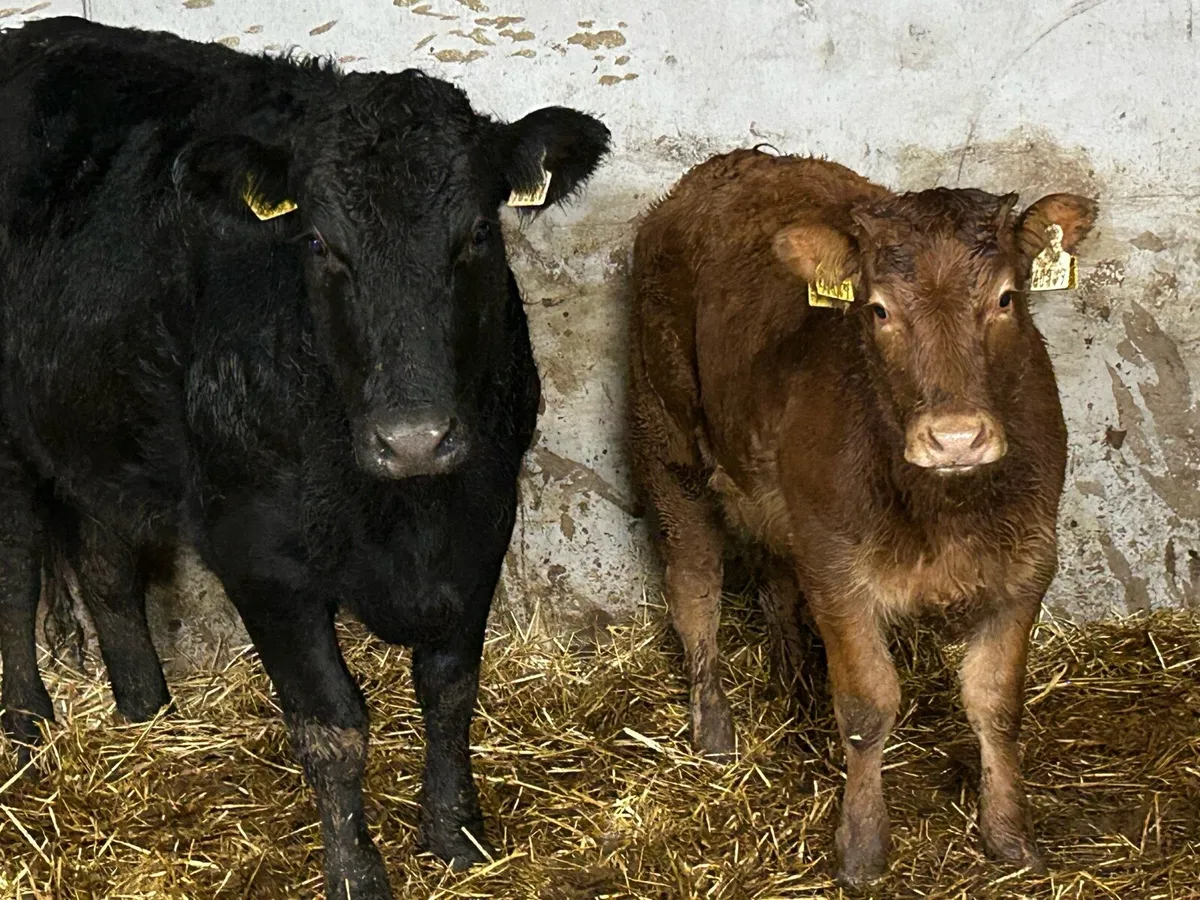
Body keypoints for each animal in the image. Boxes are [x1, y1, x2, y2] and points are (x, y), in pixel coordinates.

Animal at [0, 17, 608, 898]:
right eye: (319, 241)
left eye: (478, 233)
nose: (414, 438)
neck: (402, 515)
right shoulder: (258, 553)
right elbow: (332, 725)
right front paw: (356, 871)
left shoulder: (485, 513)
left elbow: (450, 689)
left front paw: (456, 835)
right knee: (17, 571)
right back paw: (25, 725)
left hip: (102, 427)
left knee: (107, 564)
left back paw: (148, 713)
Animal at [628, 148, 1096, 884]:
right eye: (877, 310)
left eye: (1005, 298)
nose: (955, 437)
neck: (942, 510)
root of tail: (730, 164)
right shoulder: (837, 570)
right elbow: (868, 707)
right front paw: (863, 846)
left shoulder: (1028, 564)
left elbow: (996, 705)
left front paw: (1010, 837)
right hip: (665, 437)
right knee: (694, 585)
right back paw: (714, 731)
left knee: (774, 580)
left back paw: (794, 693)